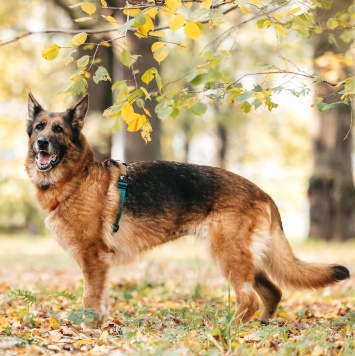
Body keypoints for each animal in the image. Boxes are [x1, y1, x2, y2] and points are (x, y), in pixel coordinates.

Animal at [25, 93, 350, 326]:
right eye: (39, 127)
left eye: (58, 129)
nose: (41, 143)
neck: (77, 178)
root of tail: (263, 193)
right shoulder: (99, 264)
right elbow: (100, 300)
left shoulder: (94, 259)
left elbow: (90, 299)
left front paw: (89, 330)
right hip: (249, 259)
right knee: (272, 292)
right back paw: (260, 329)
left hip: (229, 256)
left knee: (249, 300)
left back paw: (230, 330)